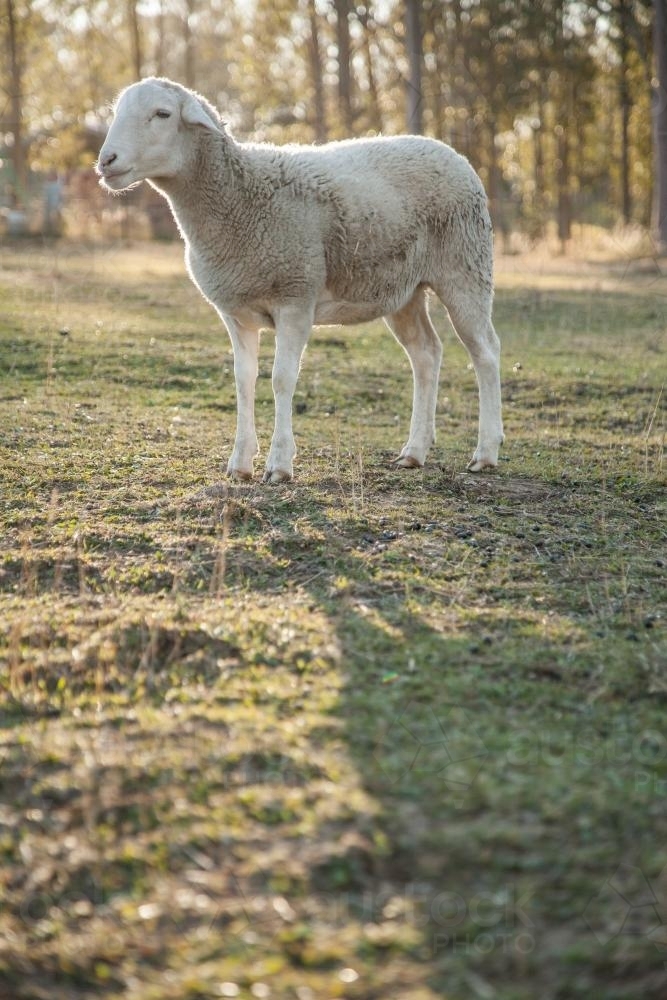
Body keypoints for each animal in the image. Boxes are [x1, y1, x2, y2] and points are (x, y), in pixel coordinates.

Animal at [96, 76, 504, 482]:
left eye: (162, 114)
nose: (106, 161)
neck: (239, 197)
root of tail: (450, 152)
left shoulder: (295, 298)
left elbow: (281, 379)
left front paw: (279, 463)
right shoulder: (235, 312)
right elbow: (243, 380)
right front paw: (240, 463)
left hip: (466, 267)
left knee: (485, 351)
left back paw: (485, 452)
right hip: (404, 291)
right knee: (426, 354)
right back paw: (414, 452)